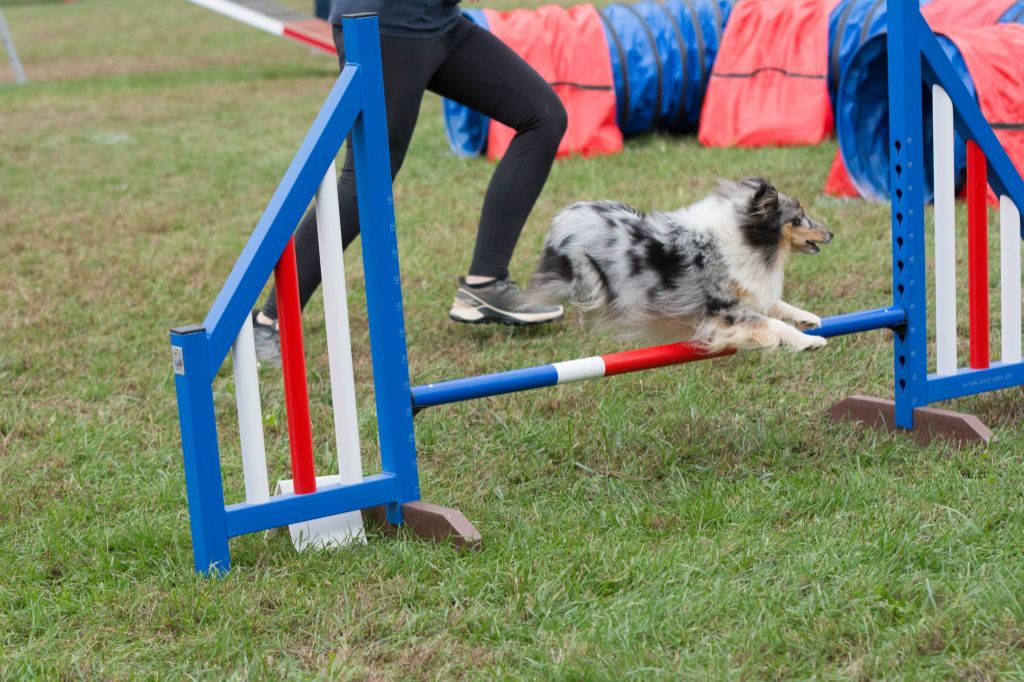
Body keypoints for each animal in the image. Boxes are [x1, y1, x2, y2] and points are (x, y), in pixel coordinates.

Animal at [532, 176, 835, 350]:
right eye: (799, 217)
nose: (831, 233)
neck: (747, 238)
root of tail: (564, 215)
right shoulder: (724, 311)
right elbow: (774, 324)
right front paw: (809, 341)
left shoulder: (749, 290)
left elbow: (776, 305)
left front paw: (807, 318)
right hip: (587, 274)